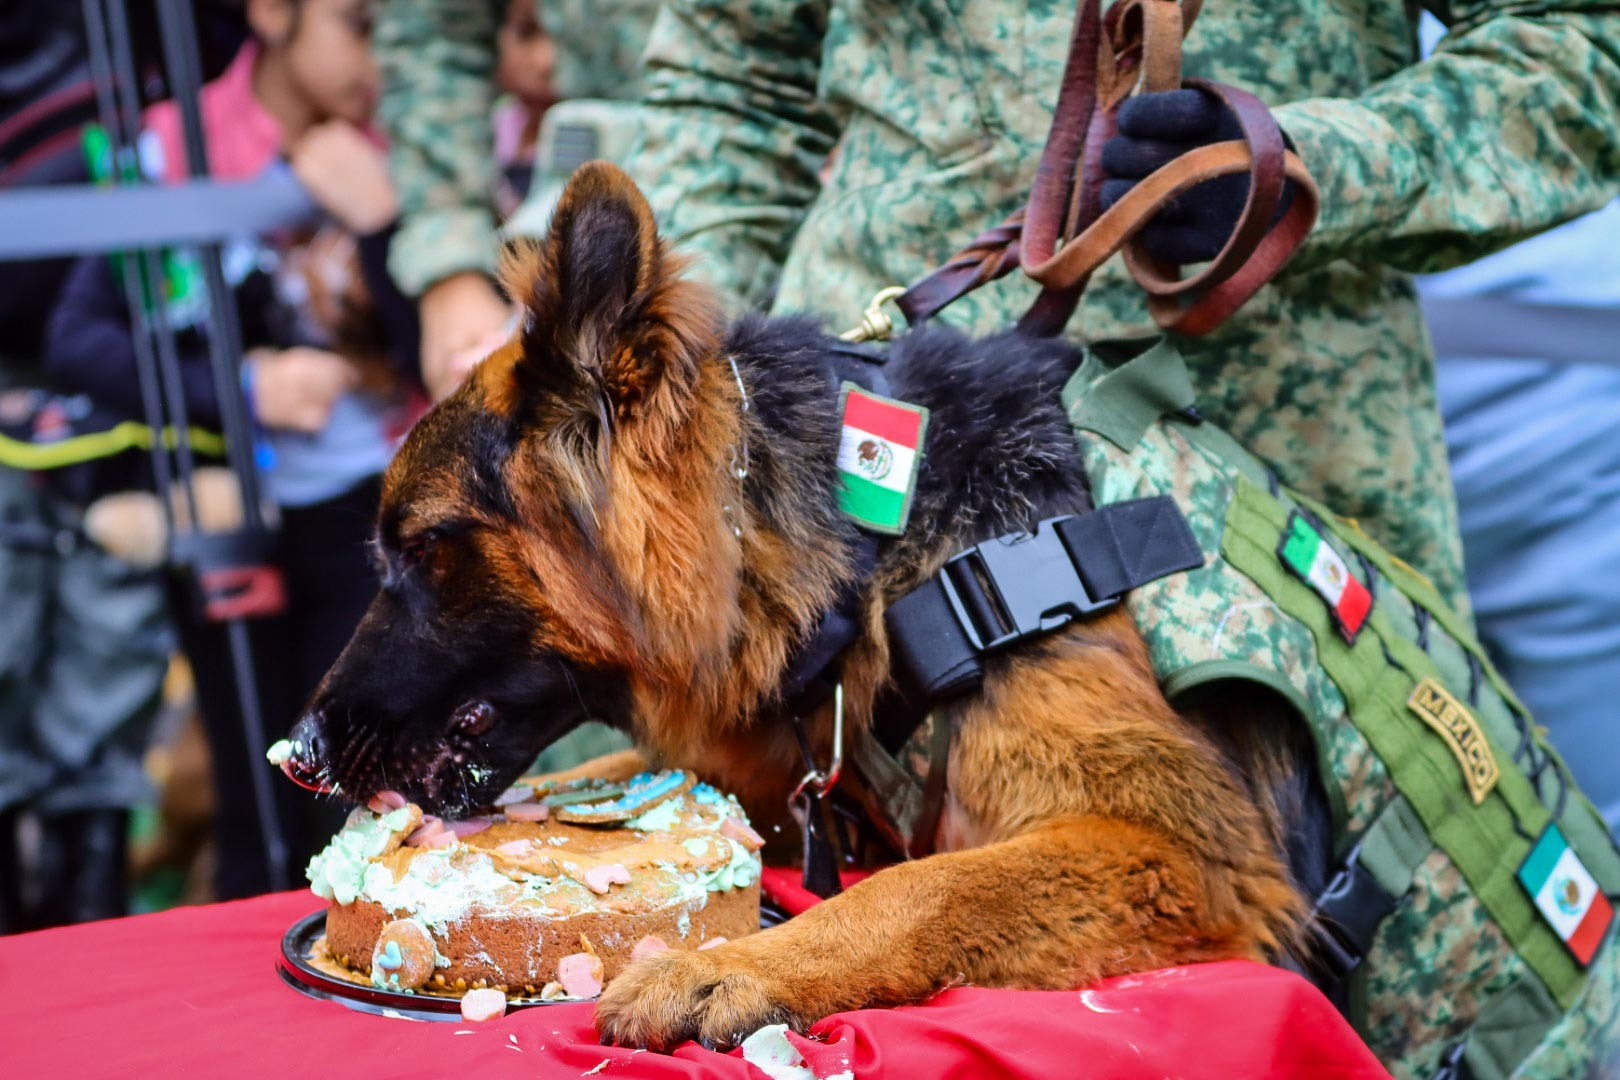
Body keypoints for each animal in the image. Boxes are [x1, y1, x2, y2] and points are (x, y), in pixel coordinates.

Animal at [291, 165, 1328, 1049]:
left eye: (423, 548)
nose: (299, 756)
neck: (870, 547)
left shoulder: (1178, 849)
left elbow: (921, 888)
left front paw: (736, 967)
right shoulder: (779, 785)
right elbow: (631, 780)